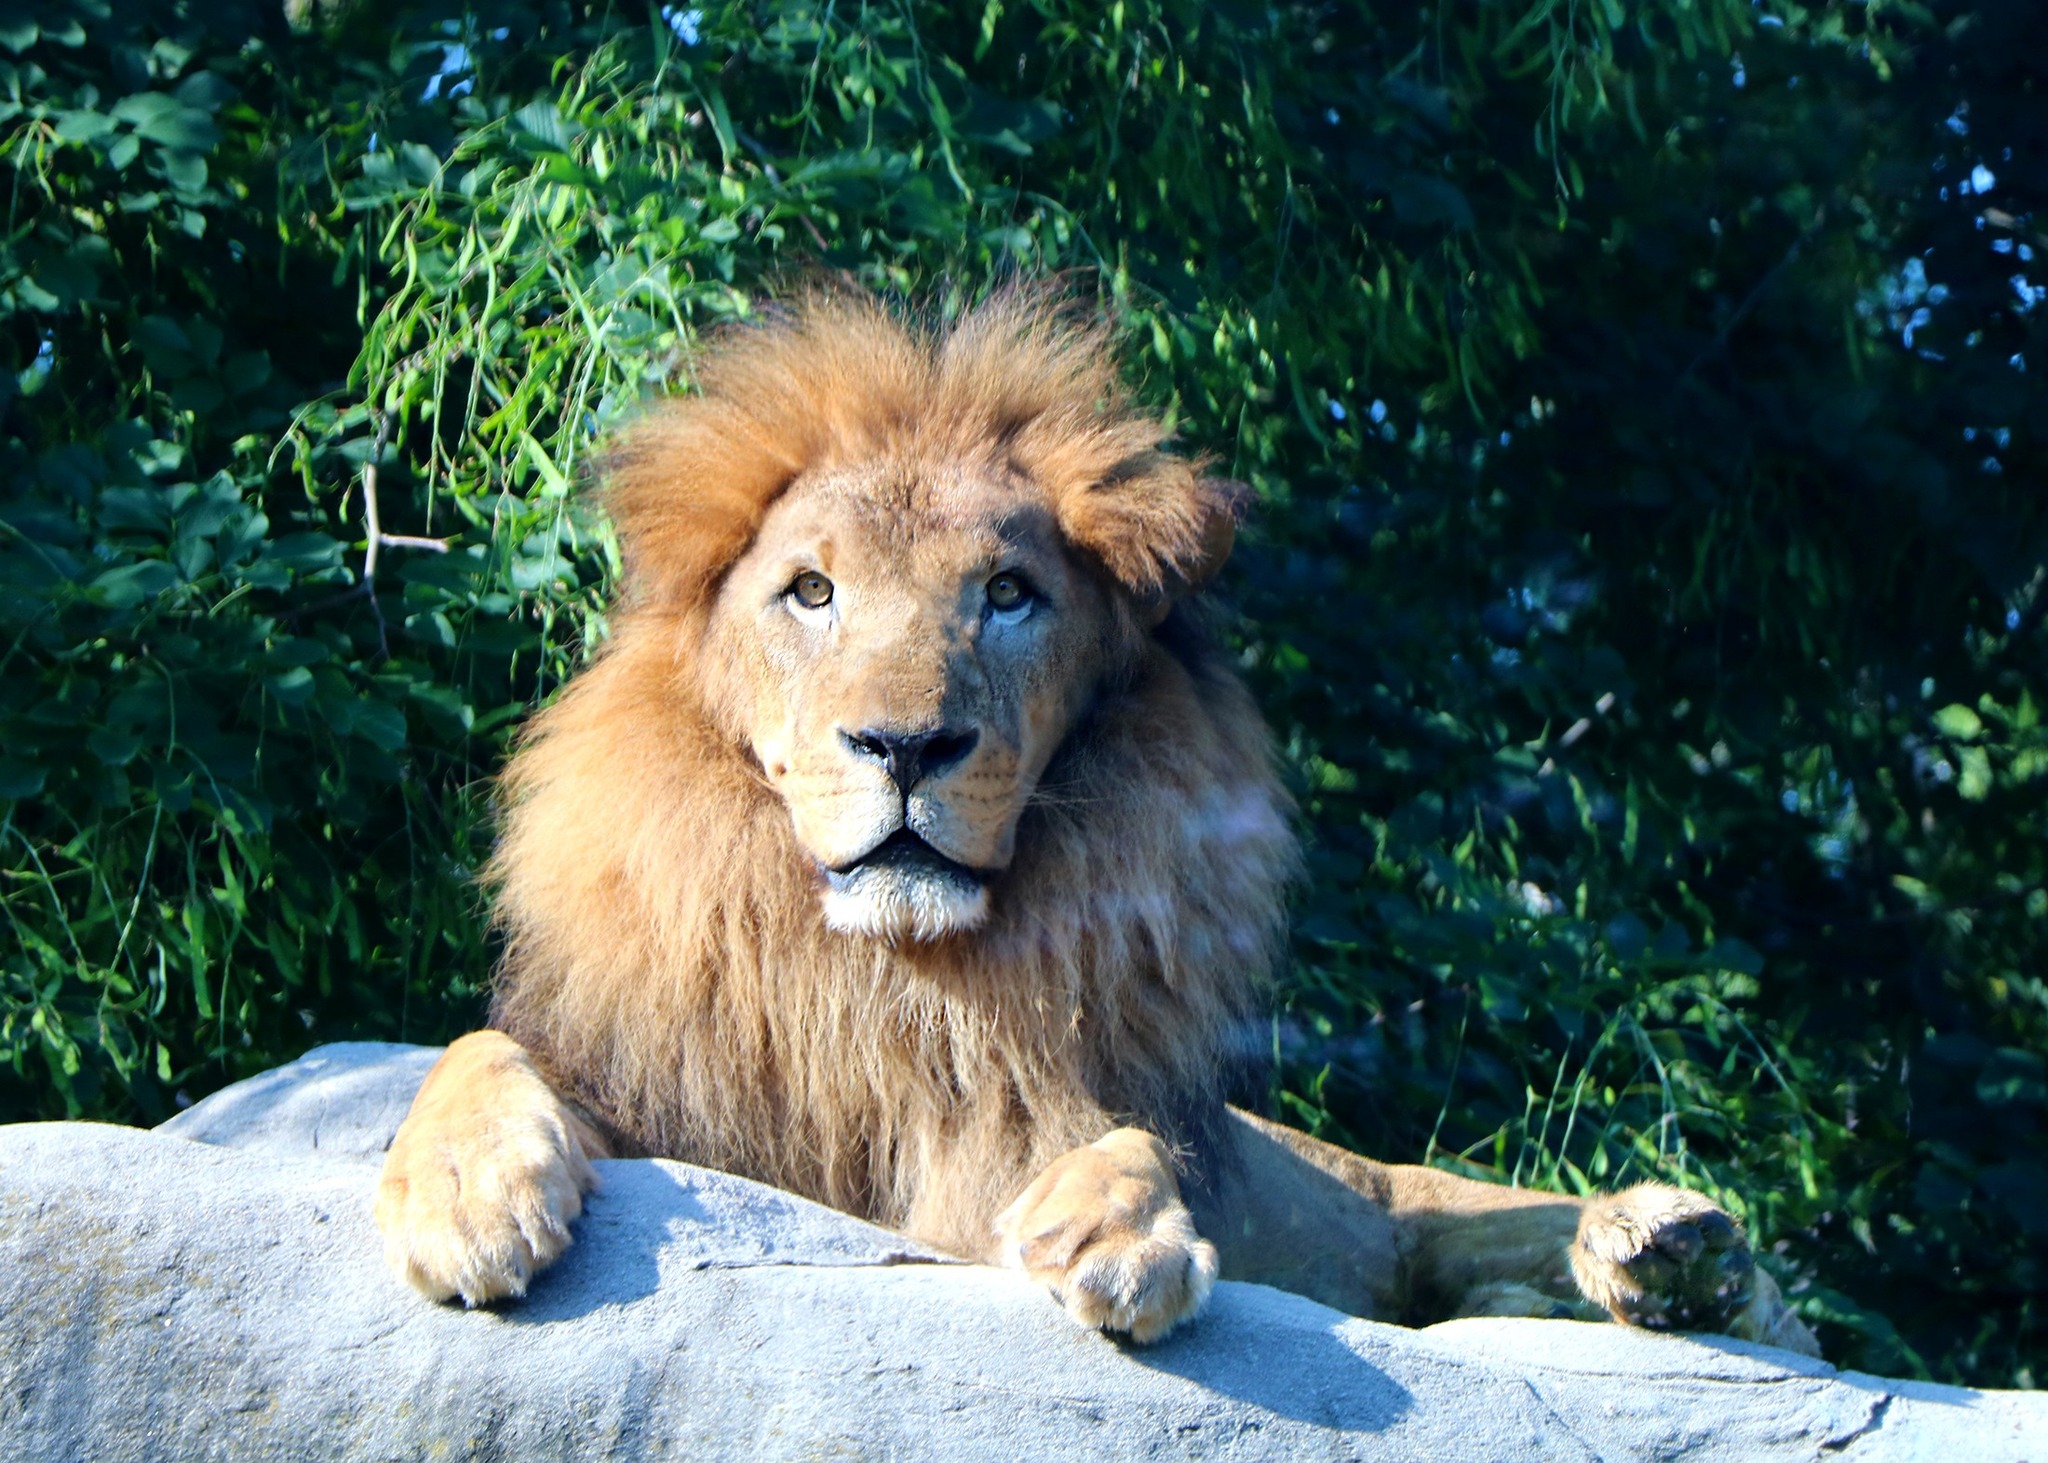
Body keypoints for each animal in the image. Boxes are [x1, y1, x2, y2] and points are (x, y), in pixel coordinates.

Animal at [373, 286, 1819, 1354]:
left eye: (1008, 593)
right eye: (810, 592)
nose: (906, 745)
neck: (884, 979)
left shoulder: (1009, 1141)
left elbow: (1122, 1138)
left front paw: (1118, 1229)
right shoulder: (671, 1105)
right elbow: (472, 1052)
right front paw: (466, 1200)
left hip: (1403, 1197)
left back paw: (1672, 1251)